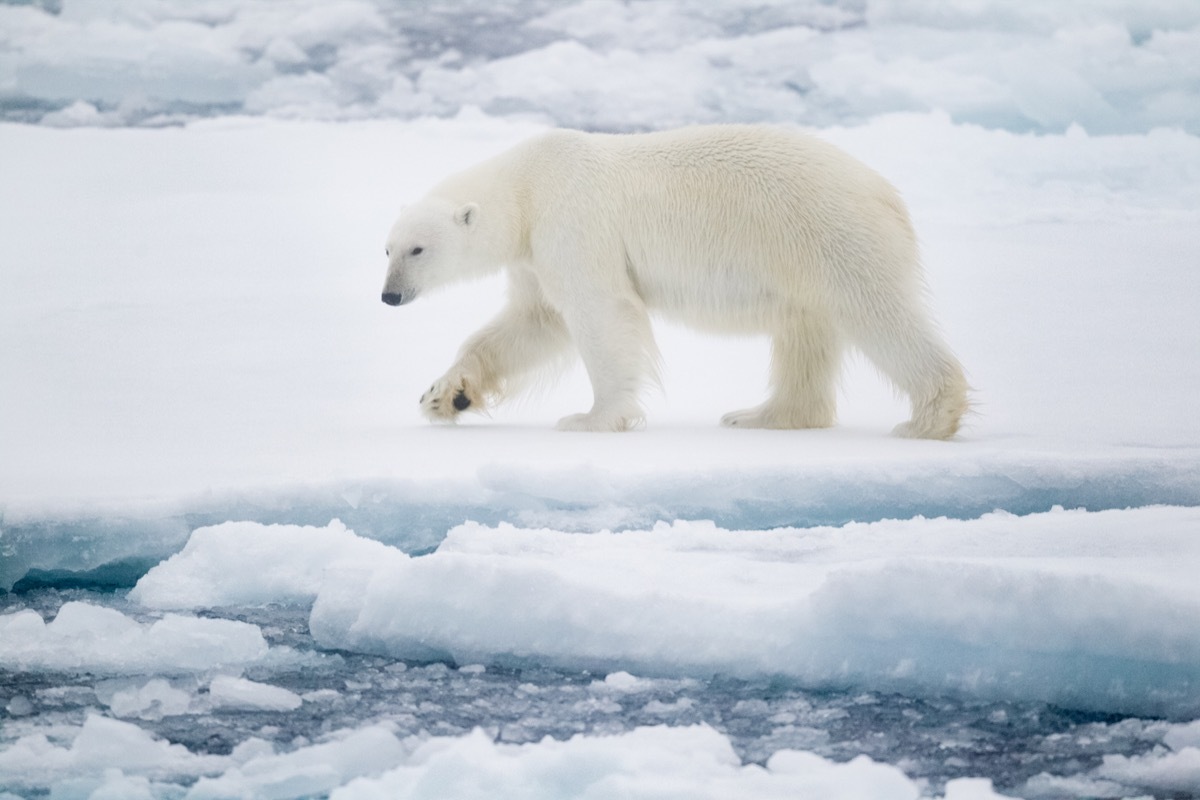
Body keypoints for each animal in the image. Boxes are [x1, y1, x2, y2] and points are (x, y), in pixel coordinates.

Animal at [379, 125, 969, 438]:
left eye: (418, 249)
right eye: (385, 248)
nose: (389, 295)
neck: (529, 185)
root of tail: (885, 192)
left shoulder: (573, 223)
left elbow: (599, 312)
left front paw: (589, 418)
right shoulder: (532, 254)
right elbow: (532, 322)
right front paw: (444, 395)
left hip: (831, 234)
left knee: (878, 313)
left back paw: (928, 419)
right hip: (803, 261)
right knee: (804, 333)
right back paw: (760, 415)